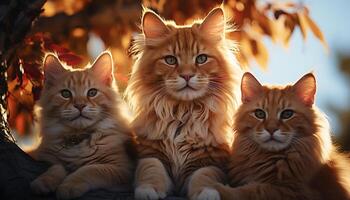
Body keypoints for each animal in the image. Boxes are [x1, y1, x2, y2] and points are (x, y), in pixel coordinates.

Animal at [30, 52, 135, 200]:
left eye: (92, 92)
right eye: (65, 94)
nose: (80, 105)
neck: (78, 139)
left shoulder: (123, 168)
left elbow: (89, 170)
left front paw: (69, 186)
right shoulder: (45, 157)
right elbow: (56, 167)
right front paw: (44, 181)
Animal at [126, 6, 243, 200]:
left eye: (201, 59)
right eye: (170, 60)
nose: (187, 75)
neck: (183, 113)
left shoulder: (211, 158)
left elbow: (204, 176)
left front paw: (206, 193)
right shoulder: (150, 151)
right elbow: (151, 169)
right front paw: (148, 191)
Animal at [215, 72, 350, 199]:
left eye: (287, 114)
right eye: (259, 114)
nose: (271, 129)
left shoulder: (293, 191)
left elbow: (251, 191)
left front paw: (217, 188)